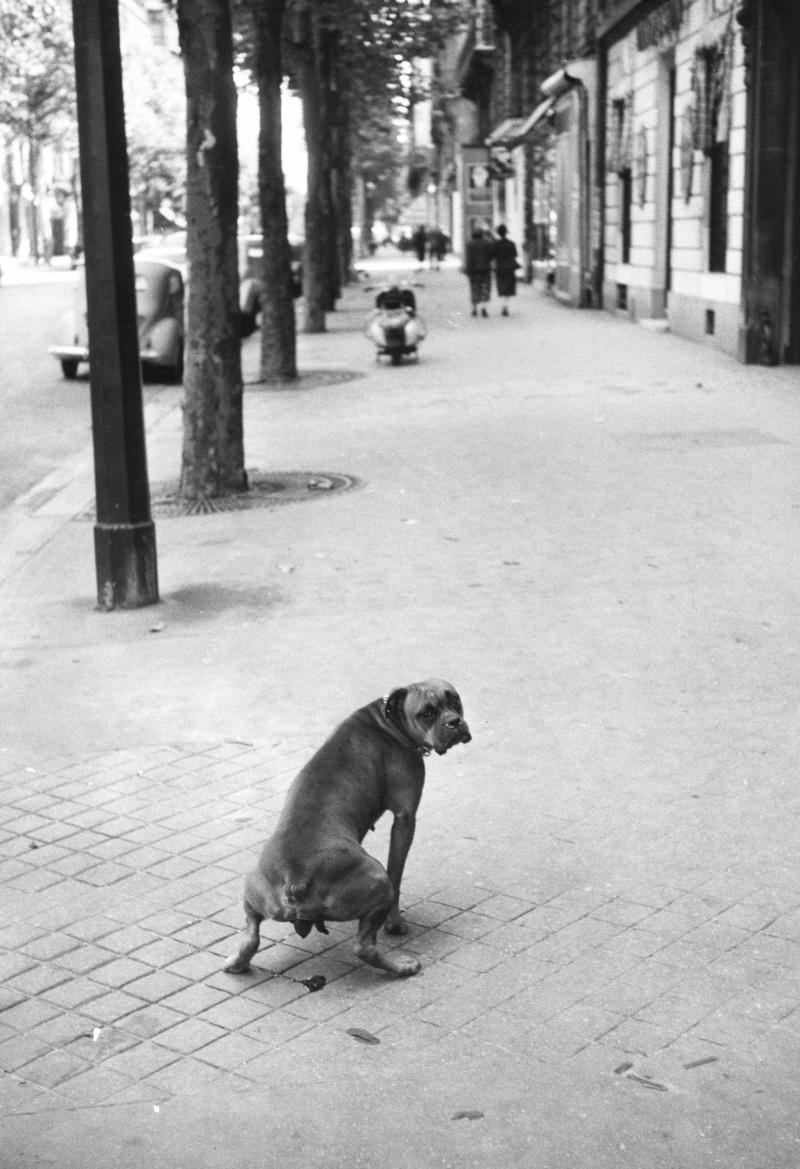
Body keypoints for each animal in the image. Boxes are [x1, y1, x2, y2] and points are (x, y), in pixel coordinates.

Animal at [224, 682, 467, 977]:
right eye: (427, 713)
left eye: (455, 700)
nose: (455, 722)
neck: (387, 722)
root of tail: (296, 877)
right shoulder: (405, 817)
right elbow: (397, 873)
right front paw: (395, 925)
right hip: (378, 880)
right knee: (364, 946)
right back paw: (401, 966)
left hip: (251, 887)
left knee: (251, 936)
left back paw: (236, 963)